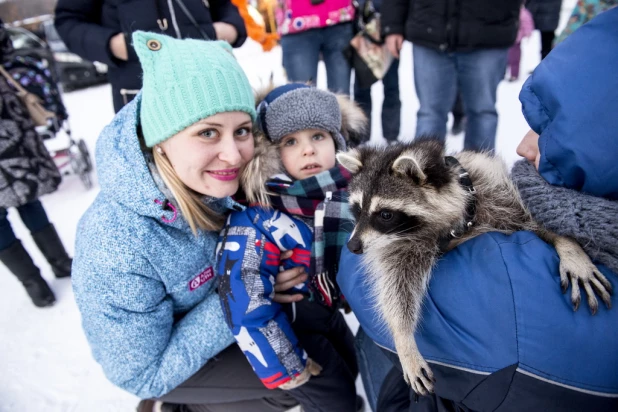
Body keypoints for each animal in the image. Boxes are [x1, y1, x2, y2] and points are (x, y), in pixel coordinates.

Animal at [336, 139, 612, 396]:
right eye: (357, 209)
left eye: (385, 214)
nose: (352, 246)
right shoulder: (404, 243)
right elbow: (397, 284)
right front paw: (403, 336)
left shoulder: (498, 194)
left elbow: (531, 217)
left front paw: (567, 244)